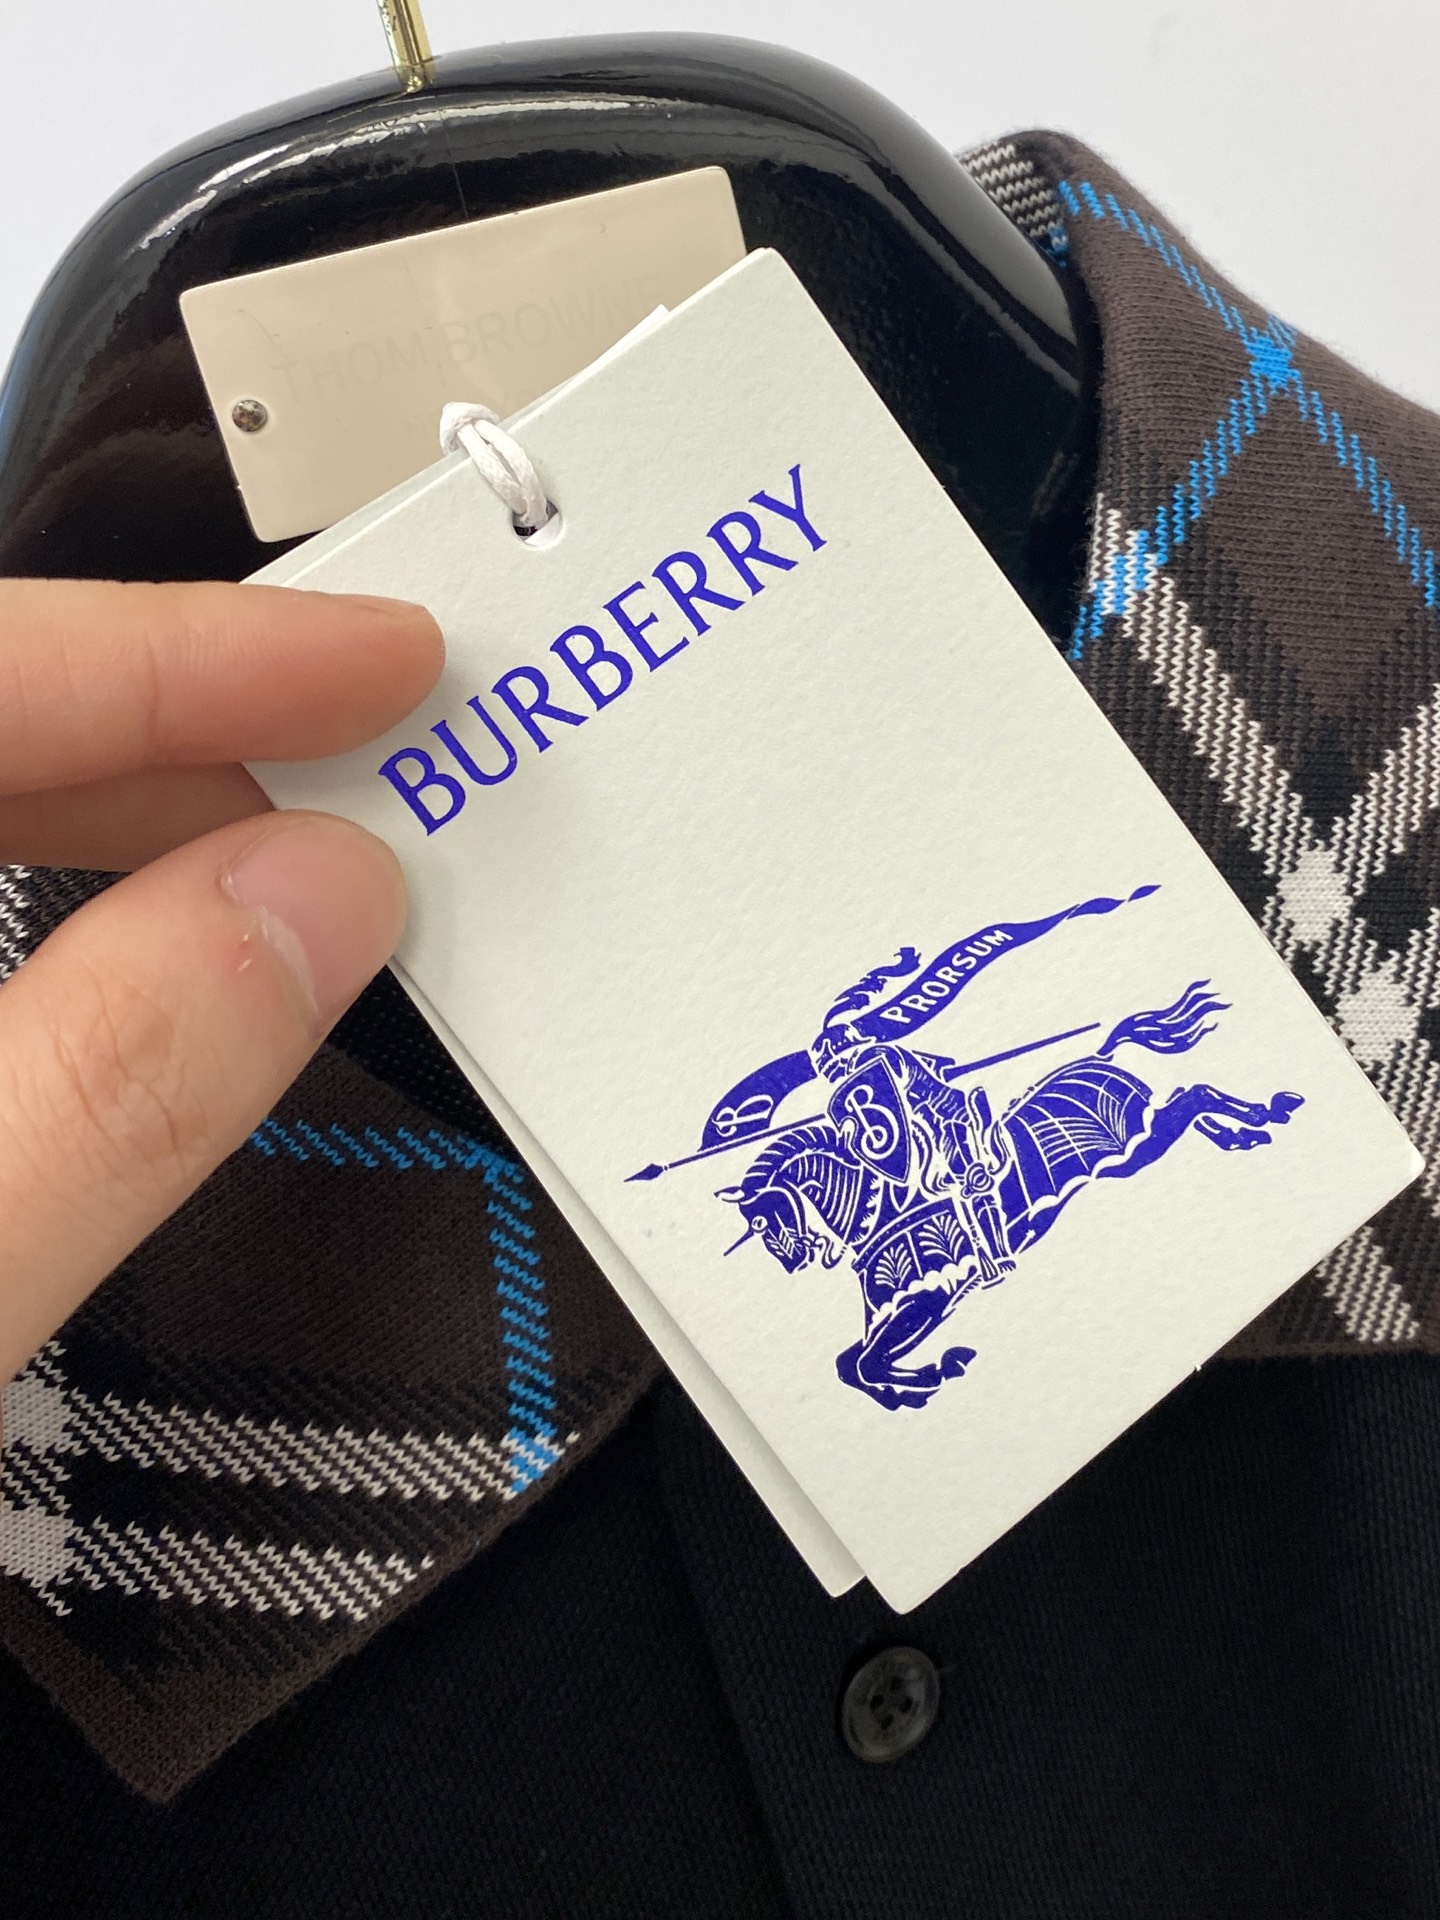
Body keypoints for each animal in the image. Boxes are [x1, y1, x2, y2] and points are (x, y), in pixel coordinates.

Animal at [717, 983, 1303, 1410]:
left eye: (766, 1221)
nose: (792, 1261)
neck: (885, 1210)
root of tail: (1099, 1054)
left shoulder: (931, 1296)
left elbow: (863, 1363)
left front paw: (932, 1372)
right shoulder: (907, 1308)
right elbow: (849, 1364)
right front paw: (912, 1387)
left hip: (1135, 1143)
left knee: (1196, 1095)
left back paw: (1266, 1112)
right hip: (1139, 1149)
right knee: (1188, 1101)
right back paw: (1240, 1134)